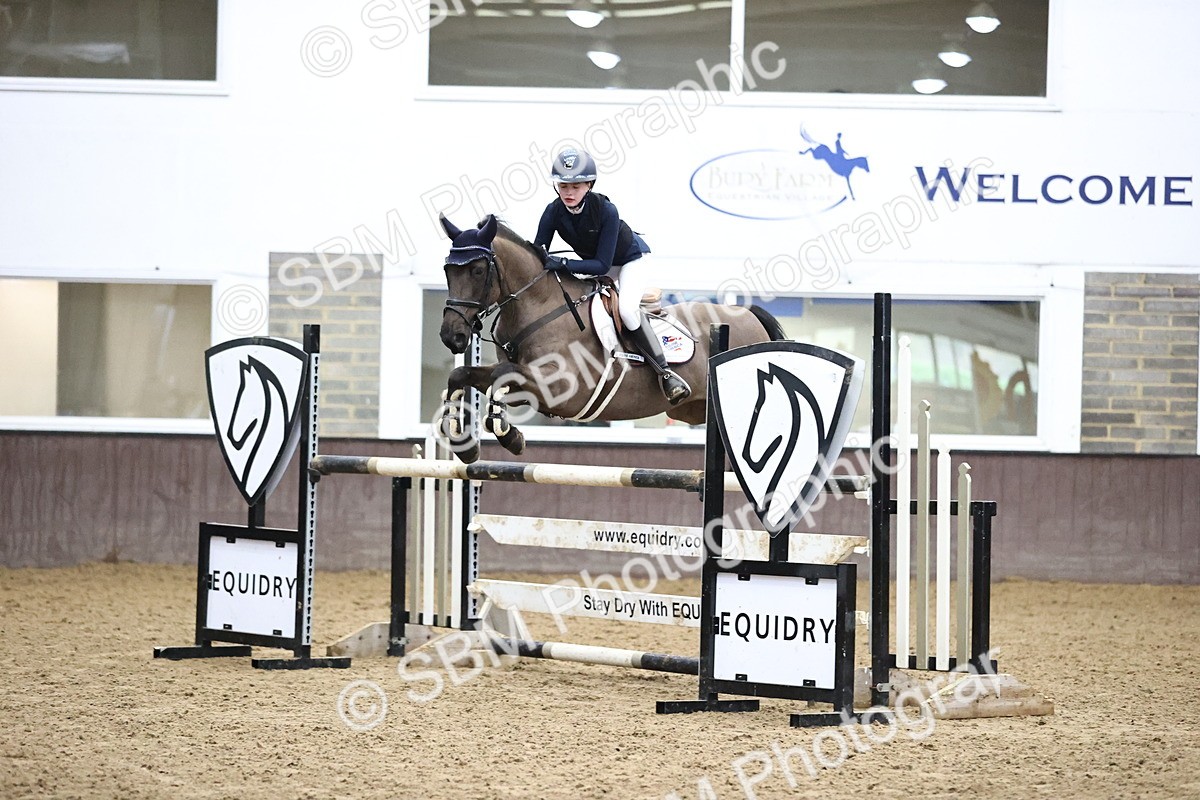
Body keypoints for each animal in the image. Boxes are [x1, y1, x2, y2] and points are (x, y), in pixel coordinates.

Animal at [436, 213, 787, 463]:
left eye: (478, 271)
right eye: (447, 271)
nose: (452, 336)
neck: (539, 306)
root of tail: (749, 314)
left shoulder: (560, 388)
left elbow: (500, 374)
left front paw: (508, 435)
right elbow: (463, 375)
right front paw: (464, 443)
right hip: (689, 411)